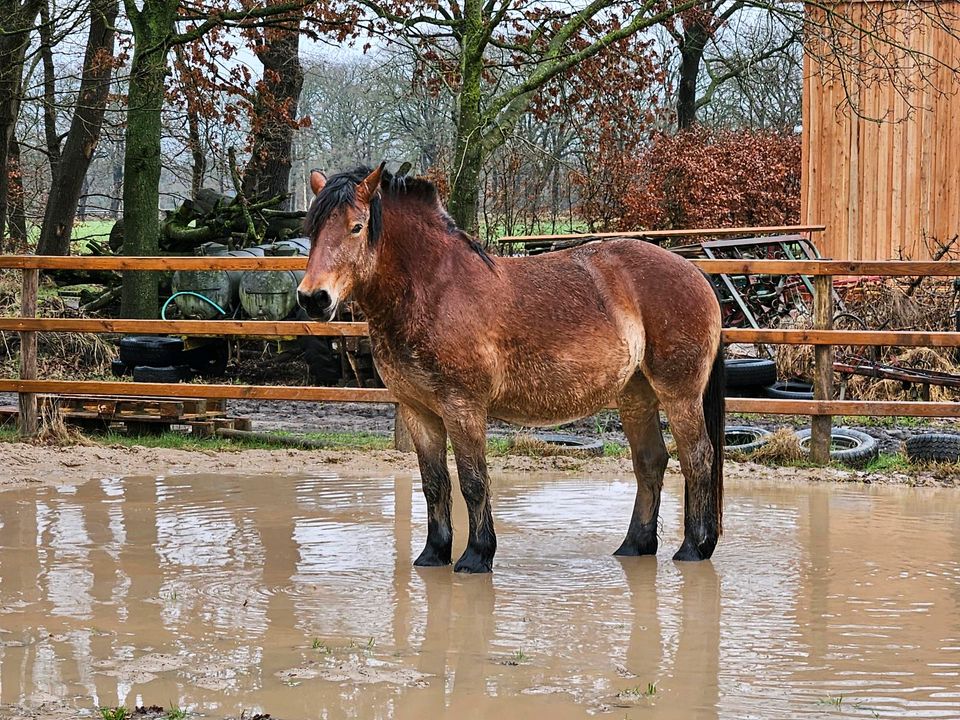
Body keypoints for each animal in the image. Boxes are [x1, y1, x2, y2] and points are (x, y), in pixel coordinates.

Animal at [296, 163, 724, 572]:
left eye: (357, 226)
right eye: (311, 229)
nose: (314, 298)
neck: (434, 291)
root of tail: (695, 272)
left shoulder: (463, 407)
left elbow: (473, 482)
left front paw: (476, 556)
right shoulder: (419, 412)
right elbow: (434, 484)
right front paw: (433, 554)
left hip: (680, 394)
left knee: (697, 458)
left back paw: (694, 547)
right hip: (636, 395)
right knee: (650, 462)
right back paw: (635, 546)